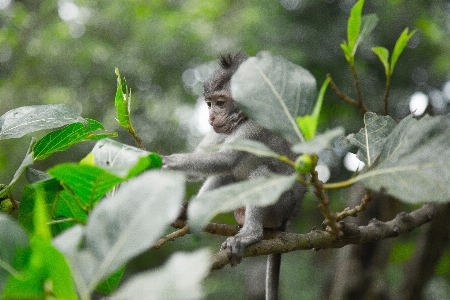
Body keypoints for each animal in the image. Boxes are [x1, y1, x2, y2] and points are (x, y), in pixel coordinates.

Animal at [163, 52, 306, 298]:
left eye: (221, 103)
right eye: (209, 104)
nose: (210, 118)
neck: (242, 119)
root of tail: (287, 219)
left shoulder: (255, 126)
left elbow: (226, 159)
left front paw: (165, 162)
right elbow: (207, 161)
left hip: (280, 207)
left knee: (258, 173)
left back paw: (250, 234)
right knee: (227, 175)